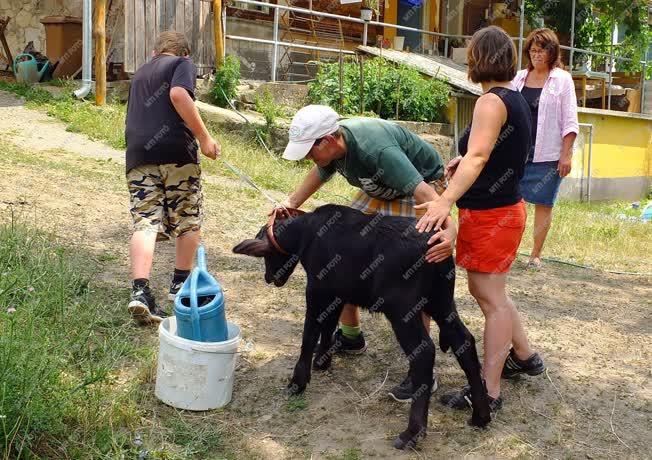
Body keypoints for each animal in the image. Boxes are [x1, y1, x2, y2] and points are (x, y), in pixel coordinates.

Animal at [234, 206, 488, 450]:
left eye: (267, 254)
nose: (269, 278)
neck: (305, 234)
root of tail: (437, 246)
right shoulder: (337, 292)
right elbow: (328, 326)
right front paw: (322, 361)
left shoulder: (316, 288)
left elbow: (309, 333)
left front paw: (297, 383)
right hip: (442, 301)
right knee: (464, 340)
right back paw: (480, 415)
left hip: (403, 309)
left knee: (424, 352)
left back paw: (412, 433)